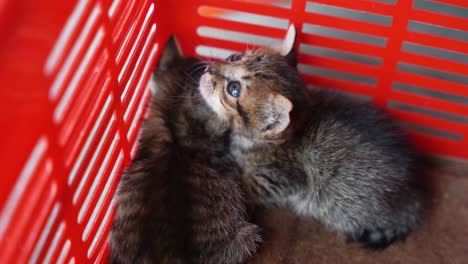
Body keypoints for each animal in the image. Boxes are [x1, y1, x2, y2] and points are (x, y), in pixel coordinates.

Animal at [196, 25, 426, 250]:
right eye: (235, 57)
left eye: (234, 89)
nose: (209, 69)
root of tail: (414, 195)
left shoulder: (281, 179)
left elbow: (247, 186)